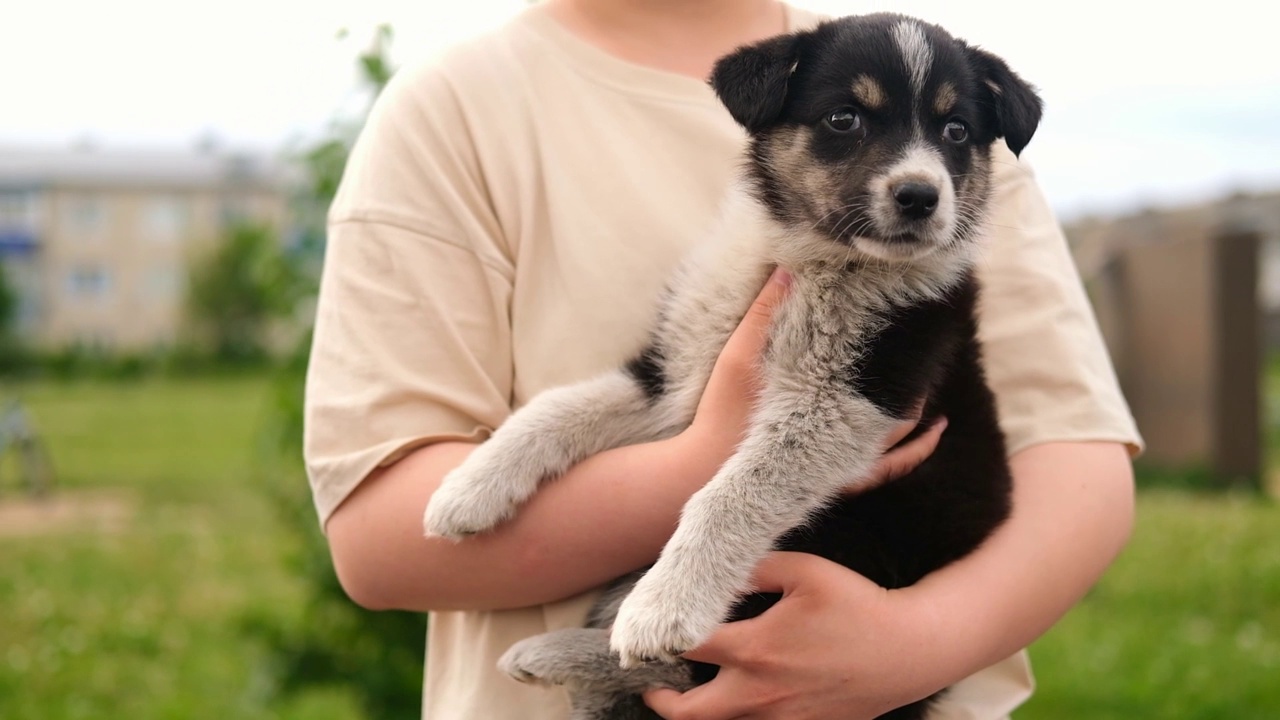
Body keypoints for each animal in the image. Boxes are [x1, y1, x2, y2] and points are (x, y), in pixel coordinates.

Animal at [427, 12, 1039, 717]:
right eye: (845, 119)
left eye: (956, 130)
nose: (920, 195)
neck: (813, 255)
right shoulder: (678, 368)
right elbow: (558, 406)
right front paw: (465, 491)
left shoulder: (854, 393)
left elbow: (732, 491)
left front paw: (664, 607)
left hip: (856, 537)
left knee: (690, 672)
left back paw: (558, 653)